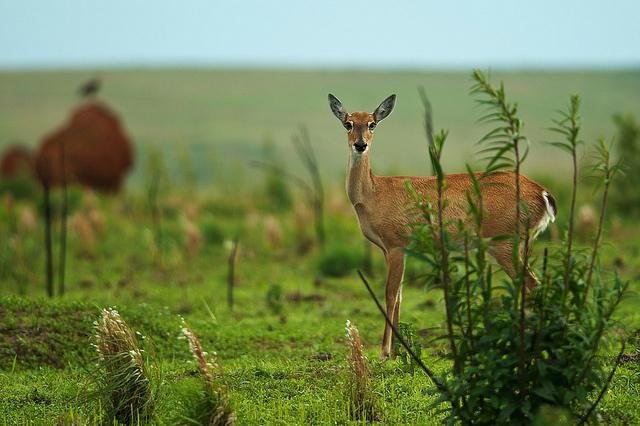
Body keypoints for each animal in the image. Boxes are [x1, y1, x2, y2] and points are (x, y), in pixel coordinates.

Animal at [328, 94, 556, 360]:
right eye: (348, 123)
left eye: (372, 123)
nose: (360, 144)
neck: (373, 193)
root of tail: (543, 192)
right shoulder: (390, 250)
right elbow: (400, 295)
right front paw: (398, 351)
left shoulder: (396, 246)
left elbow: (390, 294)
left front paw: (385, 351)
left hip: (504, 245)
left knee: (530, 283)